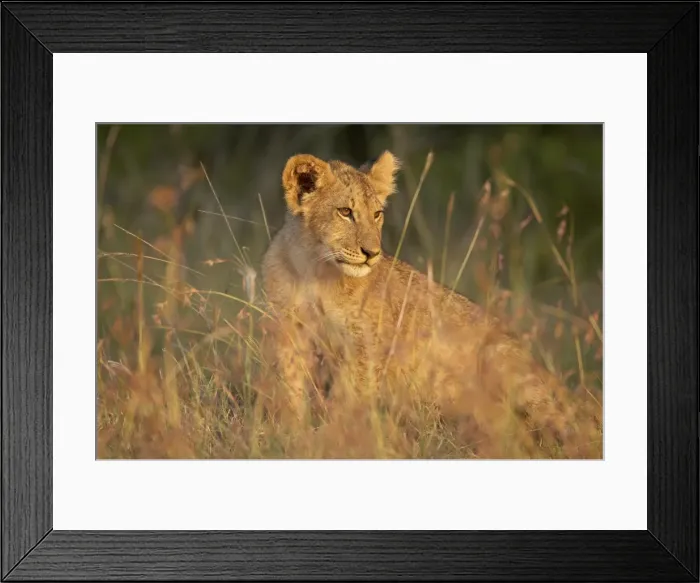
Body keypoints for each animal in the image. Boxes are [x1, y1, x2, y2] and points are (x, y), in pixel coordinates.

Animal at [260, 151, 601, 458]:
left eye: (377, 214)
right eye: (345, 212)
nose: (372, 253)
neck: (313, 270)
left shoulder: (365, 346)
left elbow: (347, 401)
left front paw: (330, 441)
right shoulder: (289, 332)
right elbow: (290, 390)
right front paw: (290, 436)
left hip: (510, 367)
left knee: (570, 430)